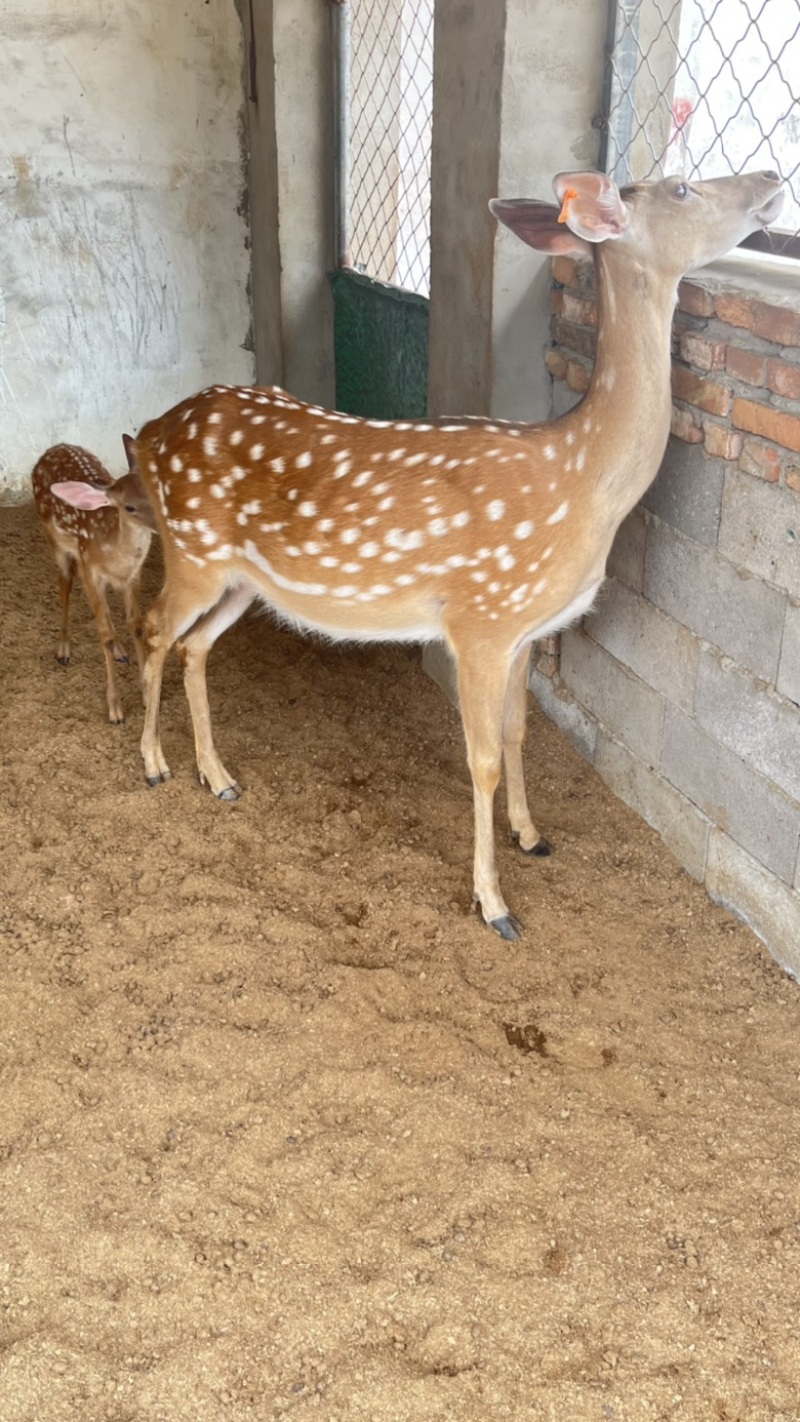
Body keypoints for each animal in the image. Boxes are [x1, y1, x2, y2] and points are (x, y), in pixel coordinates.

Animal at [32, 441, 158, 725]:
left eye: (155, 490)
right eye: (130, 507)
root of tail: (55, 447)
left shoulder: (133, 574)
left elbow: (135, 625)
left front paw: (146, 693)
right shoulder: (90, 569)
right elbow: (105, 636)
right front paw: (115, 709)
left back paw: (121, 651)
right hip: (55, 543)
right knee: (64, 583)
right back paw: (64, 649)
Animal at [118, 168, 782, 939]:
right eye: (681, 188)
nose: (771, 177)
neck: (584, 480)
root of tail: (151, 432)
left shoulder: (525, 629)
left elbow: (521, 733)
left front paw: (532, 836)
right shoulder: (481, 619)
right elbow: (483, 758)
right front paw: (494, 904)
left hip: (243, 579)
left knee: (194, 646)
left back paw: (218, 777)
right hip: (192, 549)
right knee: (152, 628)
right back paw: (154, 764)